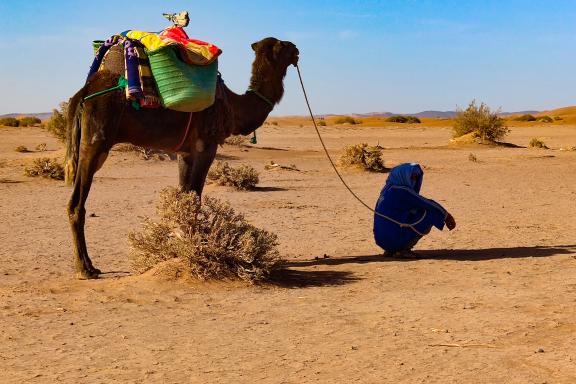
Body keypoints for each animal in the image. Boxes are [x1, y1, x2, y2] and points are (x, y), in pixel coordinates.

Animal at [66, 37, 302, 280]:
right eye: (283, 45)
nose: (296, 50)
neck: (234, 106)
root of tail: (83, 94)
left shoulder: (185, 152)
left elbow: (184, 197)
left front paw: (181, 244)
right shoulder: (206, 146)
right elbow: (195, 197)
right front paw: (196, 246)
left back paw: (88, 265)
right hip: (96, 142)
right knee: (76, 203)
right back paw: (85, 269)